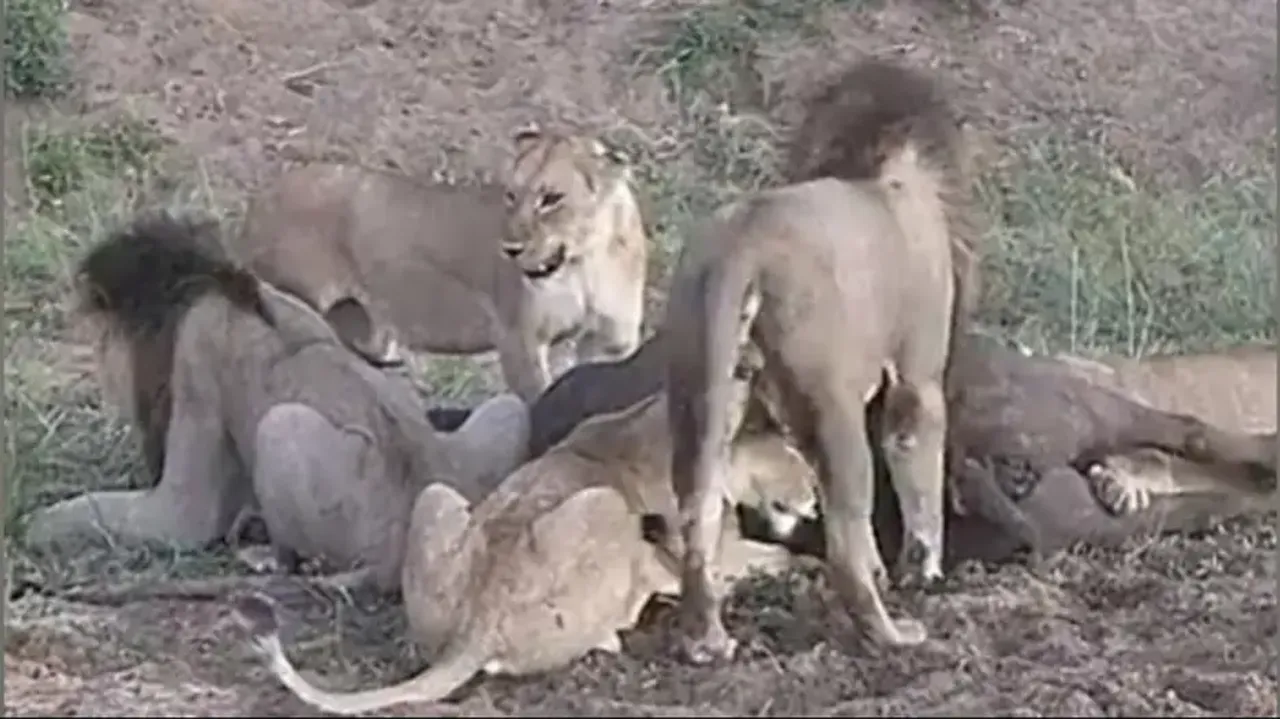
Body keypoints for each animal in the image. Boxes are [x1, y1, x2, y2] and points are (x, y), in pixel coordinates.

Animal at [21, 212, 531, 596]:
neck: (217, 283)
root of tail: (402, 548)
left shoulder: (195, 362)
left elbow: (184, 516)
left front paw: (35, 525)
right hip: (504, 416)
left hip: (284, 433)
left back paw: (268, 555)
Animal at [228, 126, 650, 404]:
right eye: (511, 196)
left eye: (551, 198)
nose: (510, 249)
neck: (584, 264)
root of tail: (258, 203)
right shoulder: (520, 339)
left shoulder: (613, 341)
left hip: (366, 331)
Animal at [232, 390, 817, 715]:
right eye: (794, 449)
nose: (815, 491)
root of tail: (476, 623)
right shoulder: (712, 555)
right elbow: (782, 558)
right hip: (605, 507)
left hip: (437, 498)